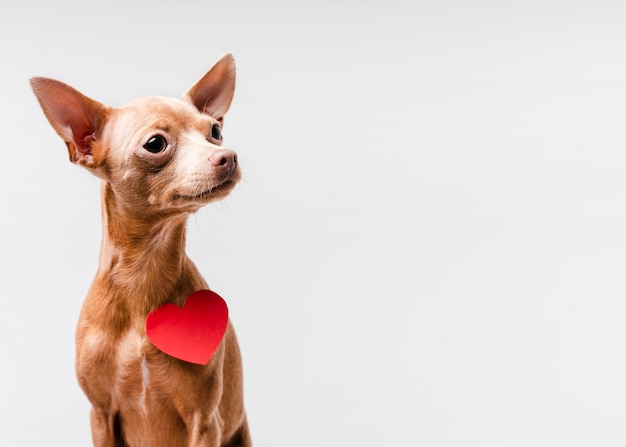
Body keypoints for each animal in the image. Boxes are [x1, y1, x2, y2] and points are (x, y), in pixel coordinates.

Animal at [29, 54, 249, 446]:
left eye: (215, 132)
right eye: (156, 144)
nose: (228, 155)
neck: (142, 273)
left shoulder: (205, 422)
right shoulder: (101, 416)